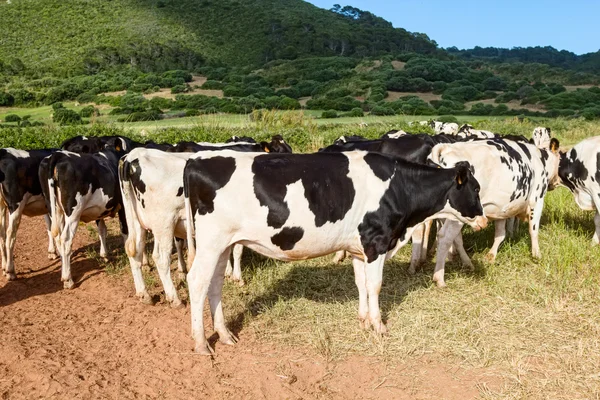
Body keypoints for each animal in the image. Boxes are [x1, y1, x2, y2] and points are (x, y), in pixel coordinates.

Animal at [0, 148, 57, 282]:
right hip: (15, 205)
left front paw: (52, 252)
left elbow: (49, 226)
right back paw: (10, 271)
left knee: (2, 234)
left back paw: (4, 268)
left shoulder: (46, 204)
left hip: (2, 205)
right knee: (10, 235)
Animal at [41, 148, 128, 290]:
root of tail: (58, 155)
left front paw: (104, 255)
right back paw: (68, 280)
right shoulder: (124, 206)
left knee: (58, 238)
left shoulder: (100, 209)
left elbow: (102, 230)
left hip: (55, 209)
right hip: (73, 213)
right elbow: (126, 231)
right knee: (66, 240)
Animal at [183, 150, 488, 354]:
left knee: (215, 284)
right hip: (211, 241)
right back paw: (201, 344)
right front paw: (379, 326)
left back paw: (224, 334)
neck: (399, 186)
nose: (484, 220)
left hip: (223, 245)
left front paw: (364, 320)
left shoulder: (358, 247)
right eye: (476, 188)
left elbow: (361, 283)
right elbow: (375, 285)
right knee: (197, 281)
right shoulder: (376, 240)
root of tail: (196, 160)